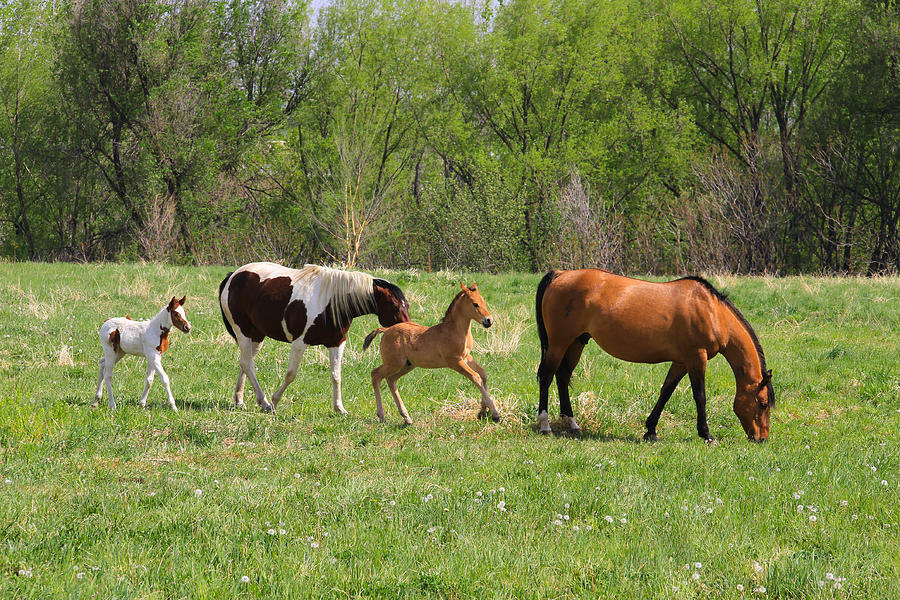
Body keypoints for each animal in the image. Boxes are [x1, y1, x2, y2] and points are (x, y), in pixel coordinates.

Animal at [220, 262, 410, 412]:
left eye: (407, 305)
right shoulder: (299, 343)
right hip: (243, 332)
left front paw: (339, 408)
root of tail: (233, 276)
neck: (332, 303)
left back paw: (239, 400)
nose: (407, 329)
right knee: (248, 364)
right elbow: (291, 374)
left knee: (245, 363)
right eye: (394, 306)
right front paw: (274, 402)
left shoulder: (337, 343)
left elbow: (336, 375)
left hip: (257, 336)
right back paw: (264, 402)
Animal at [360, 284, 500, 424]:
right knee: (376, 375)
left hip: (407, 365)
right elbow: (476, 377)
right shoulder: (455, 361)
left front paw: (482, 412)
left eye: (484, 302)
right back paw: (382, 416)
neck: (454, 330)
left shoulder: (466, 357)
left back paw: (406, 417)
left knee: (391, 380)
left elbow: (483, 374)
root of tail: (387, 330)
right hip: (393, 363)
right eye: (475, 304)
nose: (489, 320)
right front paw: (495, 414)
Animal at [536, 270, 772, 442]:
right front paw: (706, 435)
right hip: (559, 343)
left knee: (563, 377)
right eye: (763, 404)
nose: (761, 439)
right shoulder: (697, 358)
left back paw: (572, 424)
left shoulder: (681, 361)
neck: (713, 312)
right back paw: (545, 425)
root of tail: (560, 274)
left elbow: (666, 392)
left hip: (576, 342)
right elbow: (700, 396)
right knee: (547, 376)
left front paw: (650, 430)